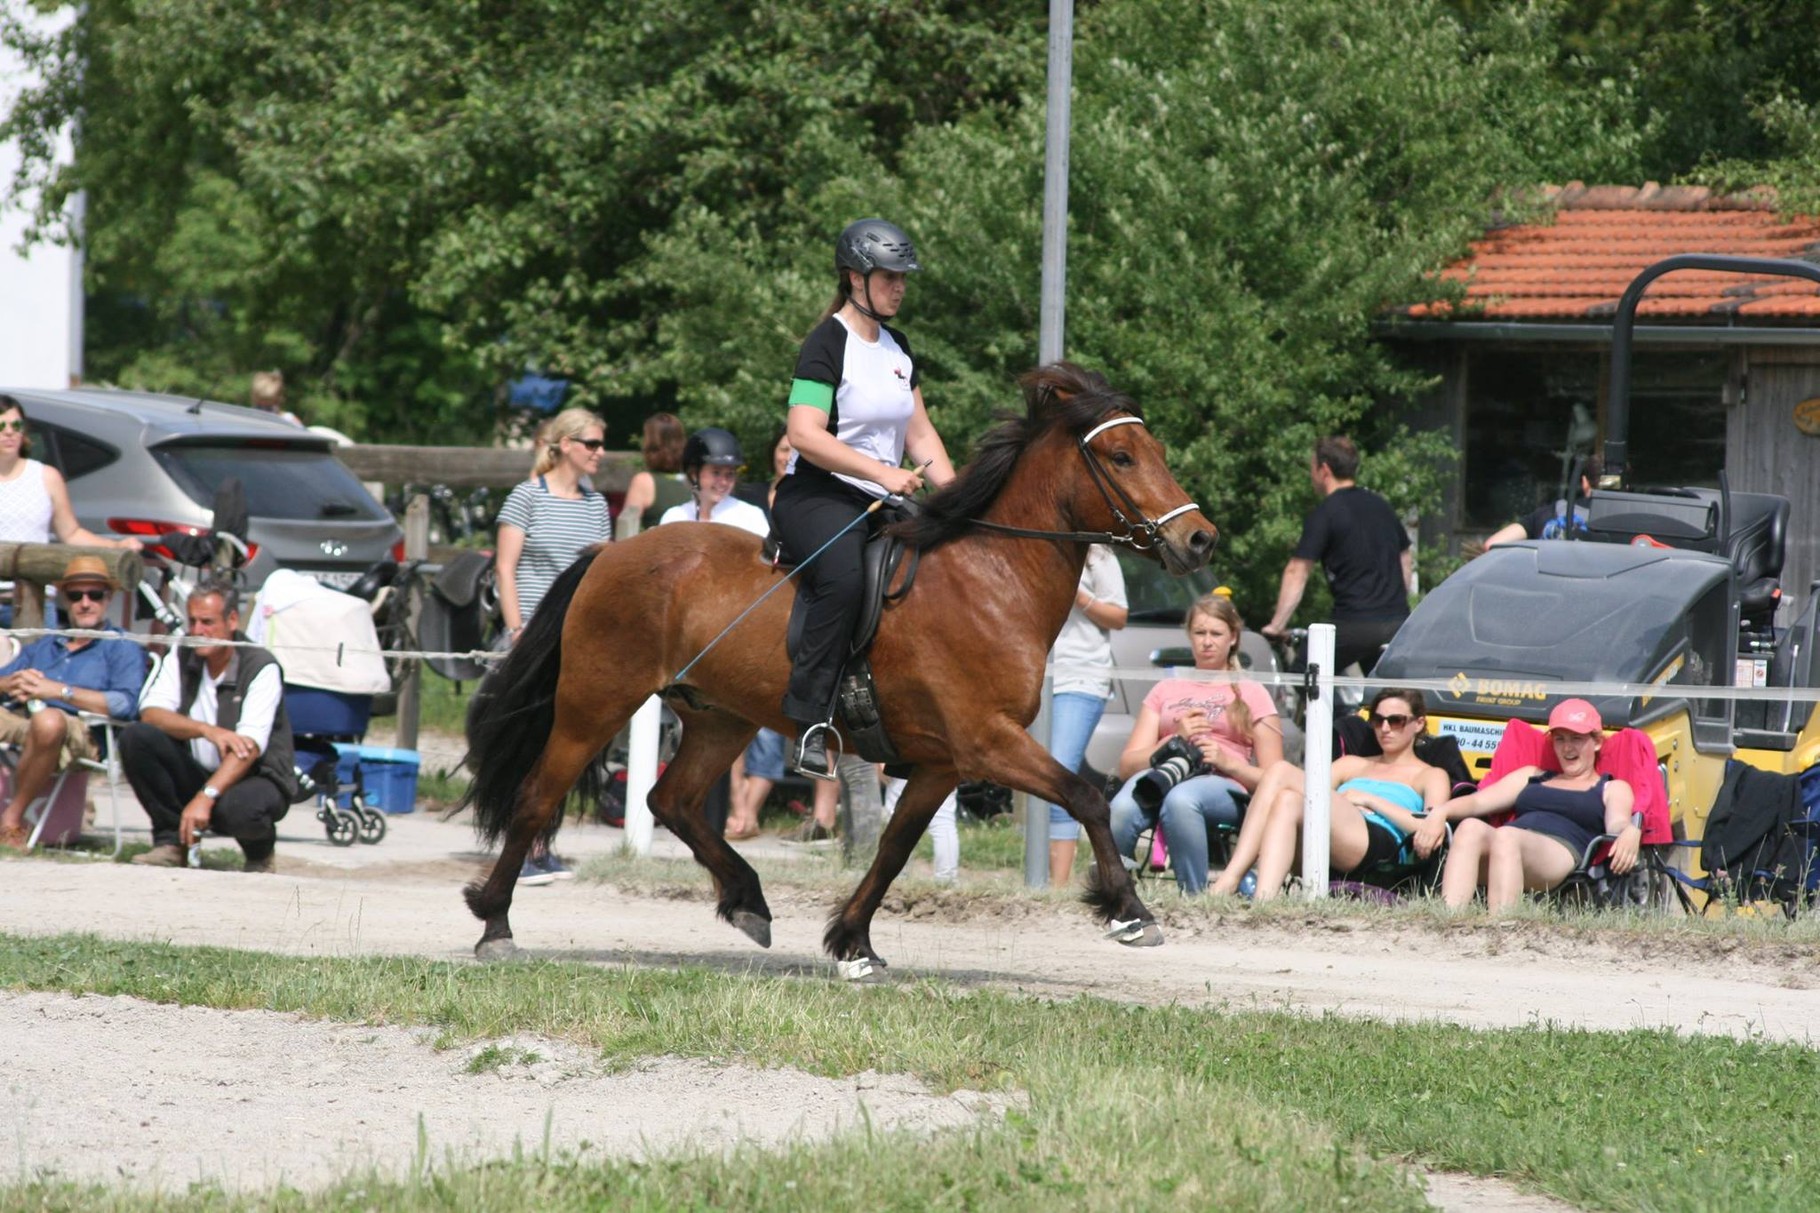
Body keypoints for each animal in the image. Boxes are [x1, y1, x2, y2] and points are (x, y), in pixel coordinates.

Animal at [462, 360, 1215, 976]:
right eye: (1121, 456)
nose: (1200, 539)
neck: (992, 576)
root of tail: (609, 552)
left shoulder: (942, 762)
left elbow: (893, 848)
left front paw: (852, 942)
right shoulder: (987, 742)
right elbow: (1085, 795)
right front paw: (1128, 911)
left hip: (720, 717)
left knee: (670, 800)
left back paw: (747, 900)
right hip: (595, 703)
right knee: (537, 798)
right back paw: (495, 924)